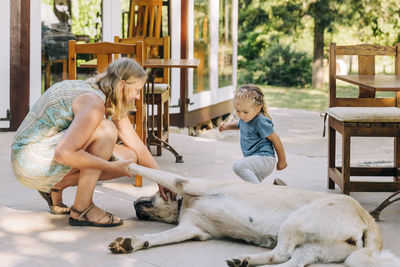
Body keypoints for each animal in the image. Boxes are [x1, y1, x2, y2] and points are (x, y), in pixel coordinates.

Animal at [108, 163, 400, 267]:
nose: (133, 205)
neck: (184, 203)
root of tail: (367, 219)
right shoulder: (191, 230)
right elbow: (155, 239)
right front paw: (133, 243)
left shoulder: (187, 183)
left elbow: (147, 168)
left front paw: (122, 160)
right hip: (312, 247)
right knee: (287, 261)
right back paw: (244, 260)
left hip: (295, 222)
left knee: (282, 255)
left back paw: (247, 259)